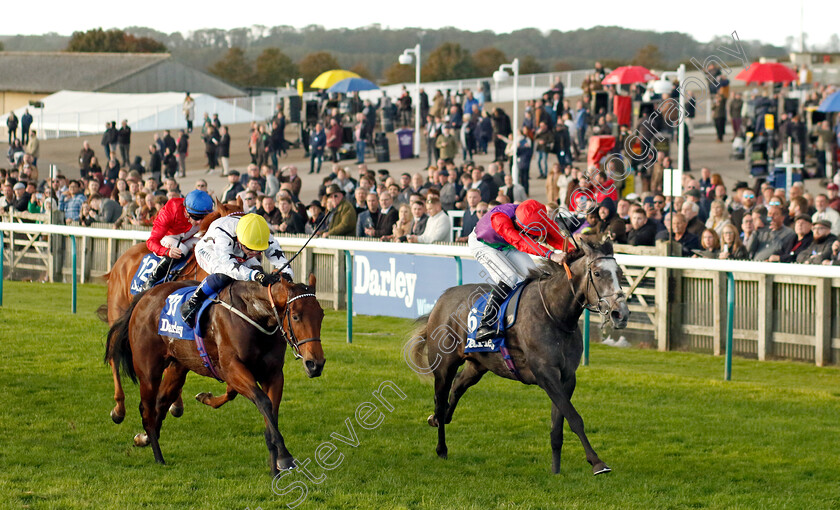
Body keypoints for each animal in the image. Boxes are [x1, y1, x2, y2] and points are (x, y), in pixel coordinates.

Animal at [106, 272, 324, 476]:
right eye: (295, 316)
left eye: (321, 315)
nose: (316, 364)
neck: (254, 314)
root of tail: (145, 296)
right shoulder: (231, 368)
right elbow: (263, 402)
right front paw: (285, 457)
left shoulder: (273, 374)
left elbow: (270, 413)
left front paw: (275, 467)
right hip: (148, 369)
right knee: (147, 410)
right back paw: (157, 455)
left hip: (178, 366)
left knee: (161, 402)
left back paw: (144, 439)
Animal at [406, 239, 632, 474]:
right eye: (597, 273)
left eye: (620, 273)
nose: (621, 314)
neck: (555, 313)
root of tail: (443, 298)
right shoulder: (545, 374)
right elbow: (574, 417)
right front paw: (597, 462)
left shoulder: (567, 377)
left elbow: (558, 424)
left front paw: (556, 469)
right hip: (444, 365)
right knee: (441, 401)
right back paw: (441, 447)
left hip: (478, 364)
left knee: (458, 386)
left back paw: (437, 419)